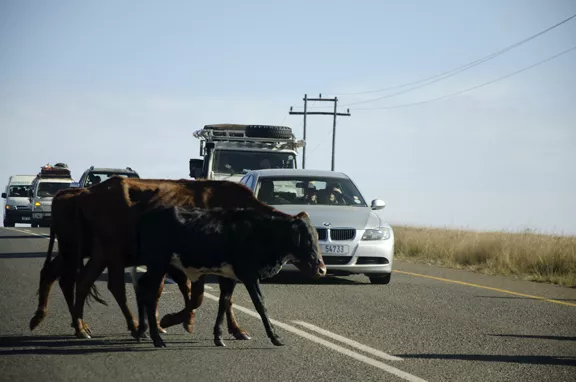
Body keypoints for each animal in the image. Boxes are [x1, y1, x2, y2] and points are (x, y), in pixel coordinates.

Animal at [132, 206, 326, 350]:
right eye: (305, 239)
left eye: (316, 236)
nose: (322, 269)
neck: (260, 232)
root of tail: (147, 216)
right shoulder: (250, 277)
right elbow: (261, 305)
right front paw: (275, 337)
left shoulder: (229, 277)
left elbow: (224, 302)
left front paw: (218, 337)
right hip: (158, 265)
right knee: (149, 294)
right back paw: (156, 338)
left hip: (159, 267)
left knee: (142, 286)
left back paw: (142, 332)